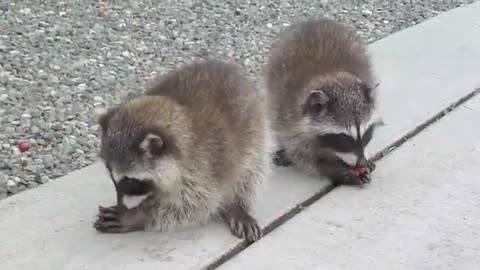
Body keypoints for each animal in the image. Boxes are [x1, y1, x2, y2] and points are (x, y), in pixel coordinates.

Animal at [94, 57, 274, 243]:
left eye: (130, 181)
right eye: (111, 176)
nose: (122, 206)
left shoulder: (205, 168)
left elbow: (195, 205)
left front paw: (139, 216)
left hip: (257, 135)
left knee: (251, 173)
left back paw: (237, 204)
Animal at [266, 17, 382, 186]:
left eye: (367, 134)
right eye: (343, 138)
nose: (361, 163)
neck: (331, 75)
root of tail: (313, 20)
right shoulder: (289, 120)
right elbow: (304, 157)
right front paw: (335, 170)